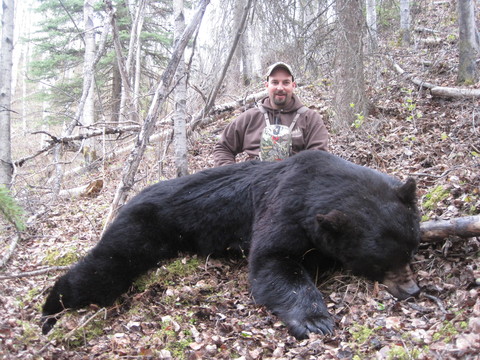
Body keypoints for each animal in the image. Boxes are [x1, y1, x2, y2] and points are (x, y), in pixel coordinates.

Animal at [42, 150, 424, 338]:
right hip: (143, 227)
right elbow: (272, 261)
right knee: (105, 268)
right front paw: (316, 320)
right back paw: (49, 312)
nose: (413, 290)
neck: (318, 184)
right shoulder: (284, 208)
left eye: (411, 249)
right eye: (380, 263)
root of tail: (130, 198)